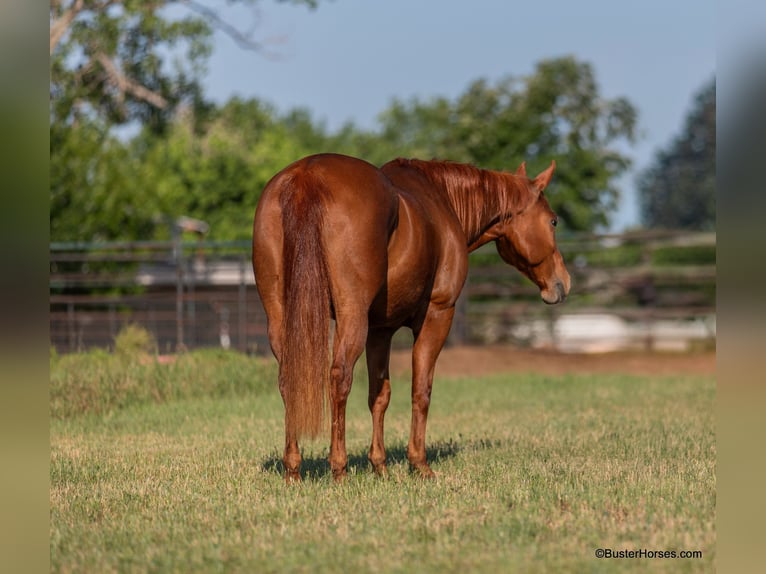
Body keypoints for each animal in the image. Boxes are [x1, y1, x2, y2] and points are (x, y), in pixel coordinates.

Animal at [252, 153, 568, 482]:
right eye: (553, 221)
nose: (562, 283)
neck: (443, 202)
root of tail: (308, 176)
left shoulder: (380, 330)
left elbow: (380, 395)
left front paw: (379, 465)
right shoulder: (438, 315)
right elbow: (421, 389)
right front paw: (419, 463)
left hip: (282, 318)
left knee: (289, 380)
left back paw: (293, 469)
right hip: (352, 317)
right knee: (339, 377)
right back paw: (339, 468)